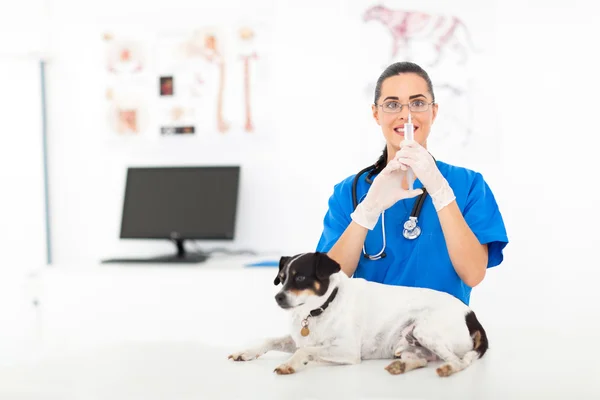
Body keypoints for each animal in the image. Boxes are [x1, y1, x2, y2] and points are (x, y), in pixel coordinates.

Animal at [229, 252, 488, 376]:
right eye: (281, 279)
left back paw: (448, 369)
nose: (278, 298)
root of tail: (471, 315)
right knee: (422, 360)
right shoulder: (300, 339)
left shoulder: (347, 351)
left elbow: (305, 351)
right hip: (407, 344)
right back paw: (400, 367)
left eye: (300, 278)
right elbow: (271, 340)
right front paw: (245, 352)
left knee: (458, 362)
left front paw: (291, 364)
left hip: (427, 332)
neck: (320, 310)